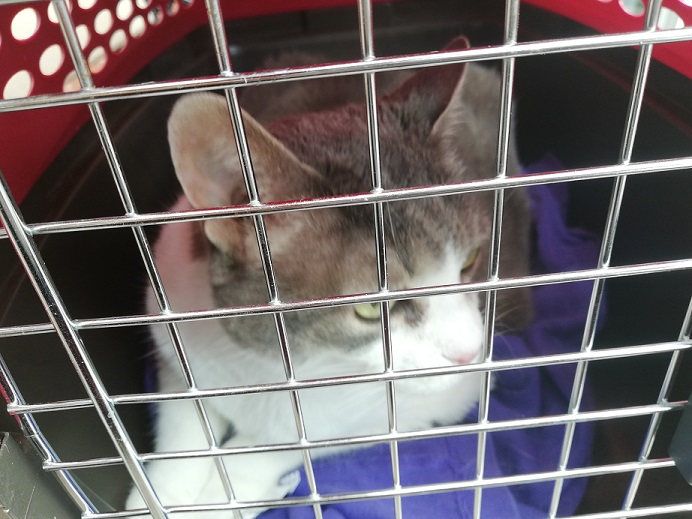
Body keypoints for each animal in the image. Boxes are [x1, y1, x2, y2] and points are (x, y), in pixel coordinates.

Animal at [127, 37, 532, 519]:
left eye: (470, 259)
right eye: (372, 306)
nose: (470, 353)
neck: (271, 365)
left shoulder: (423, 403)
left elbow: (274, 446)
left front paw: (220, 499)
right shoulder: (175, 345)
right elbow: (186, 427)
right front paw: (158, 496)